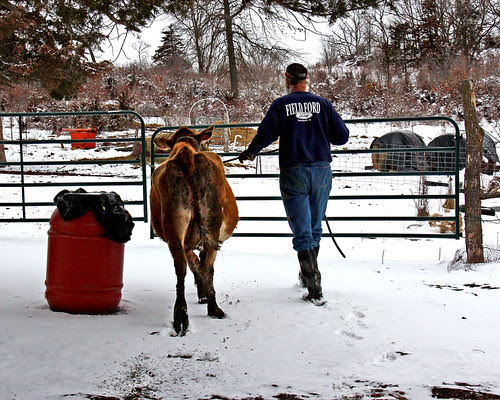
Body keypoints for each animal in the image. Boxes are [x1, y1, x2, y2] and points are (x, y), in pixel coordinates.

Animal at [150, 126, 239, 335]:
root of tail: (186, 154)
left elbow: (194, 264)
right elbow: (198, 265)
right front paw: (203, 293)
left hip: (177, 226)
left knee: (183, 267)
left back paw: (185, 315)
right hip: (209, 225)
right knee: (204, 266)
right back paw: (209, 308)